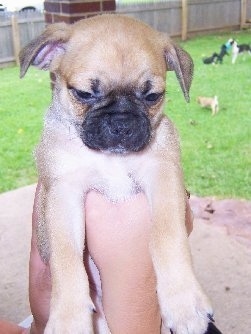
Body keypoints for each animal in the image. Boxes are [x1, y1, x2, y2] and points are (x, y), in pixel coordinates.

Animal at [19, 13, 222, 334]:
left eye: (152, 96)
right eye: (84, 94)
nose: (122, 124)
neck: (111, 160)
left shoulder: (163, 175)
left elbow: (166, 235)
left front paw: (183, 301)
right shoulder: (63, 194)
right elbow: (66, 257)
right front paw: (68, 318)